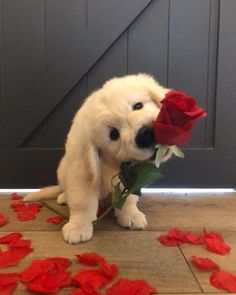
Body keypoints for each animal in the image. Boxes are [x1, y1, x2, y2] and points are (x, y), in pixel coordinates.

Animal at [24, 74, 170, 245]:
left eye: (138, 105)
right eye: (114, 134)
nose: (144, 134)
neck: (112, 162)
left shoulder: (129, 176)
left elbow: (128, 197)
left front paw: (131, 215)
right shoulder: (81, 175)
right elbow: (82, 202)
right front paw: (78, 227)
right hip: (62, 171)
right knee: (66, 190)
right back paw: (64, 197)